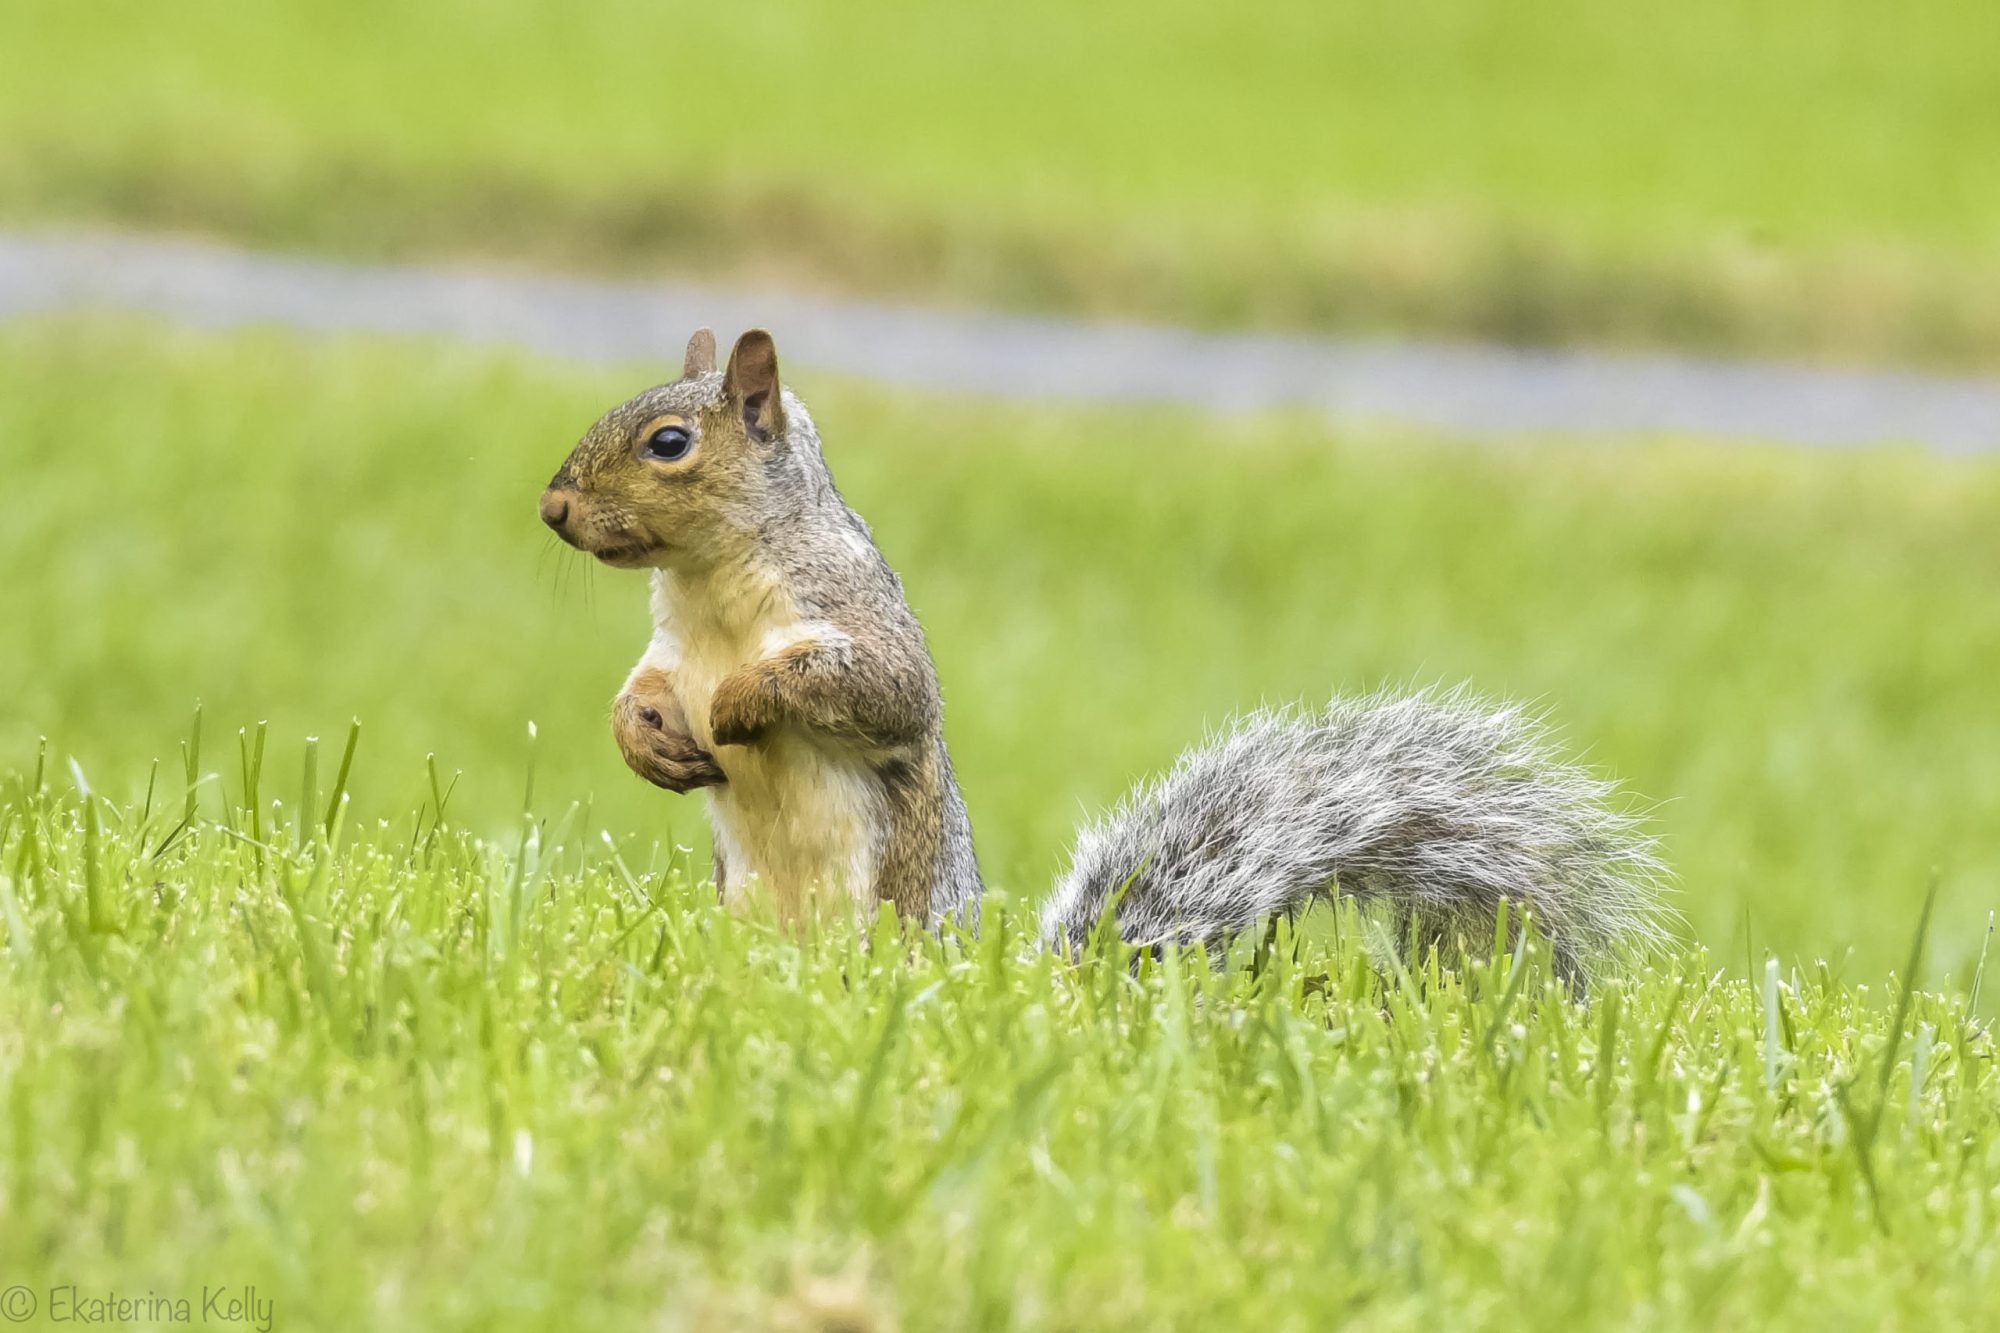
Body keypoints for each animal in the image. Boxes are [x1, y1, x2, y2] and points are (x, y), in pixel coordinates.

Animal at [540, 327, 1672, 975]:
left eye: (669, 444)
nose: (552, 509)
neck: (712, 587)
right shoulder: (667, 648)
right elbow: (636, 693)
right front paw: (651, 741)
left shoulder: (854, 614)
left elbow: (880, 690)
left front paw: (741, 702)